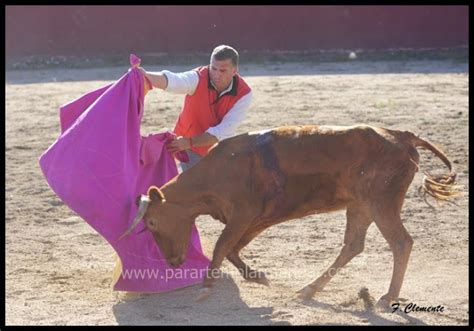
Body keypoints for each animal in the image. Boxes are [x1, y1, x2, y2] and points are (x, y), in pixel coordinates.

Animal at [121, 125, 460, 308]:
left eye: (151, 222)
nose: (173, 263)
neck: (218, 172)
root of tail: (401, 135)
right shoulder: (255, 219)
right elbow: (231, 248)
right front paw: (256, 275)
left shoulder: (244, 215)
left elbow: (221, 246)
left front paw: (206, 287)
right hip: (360, 205)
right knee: (353, 245)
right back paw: (310, 288)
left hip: (382, 202)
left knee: (401, 242)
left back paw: (388, 297)